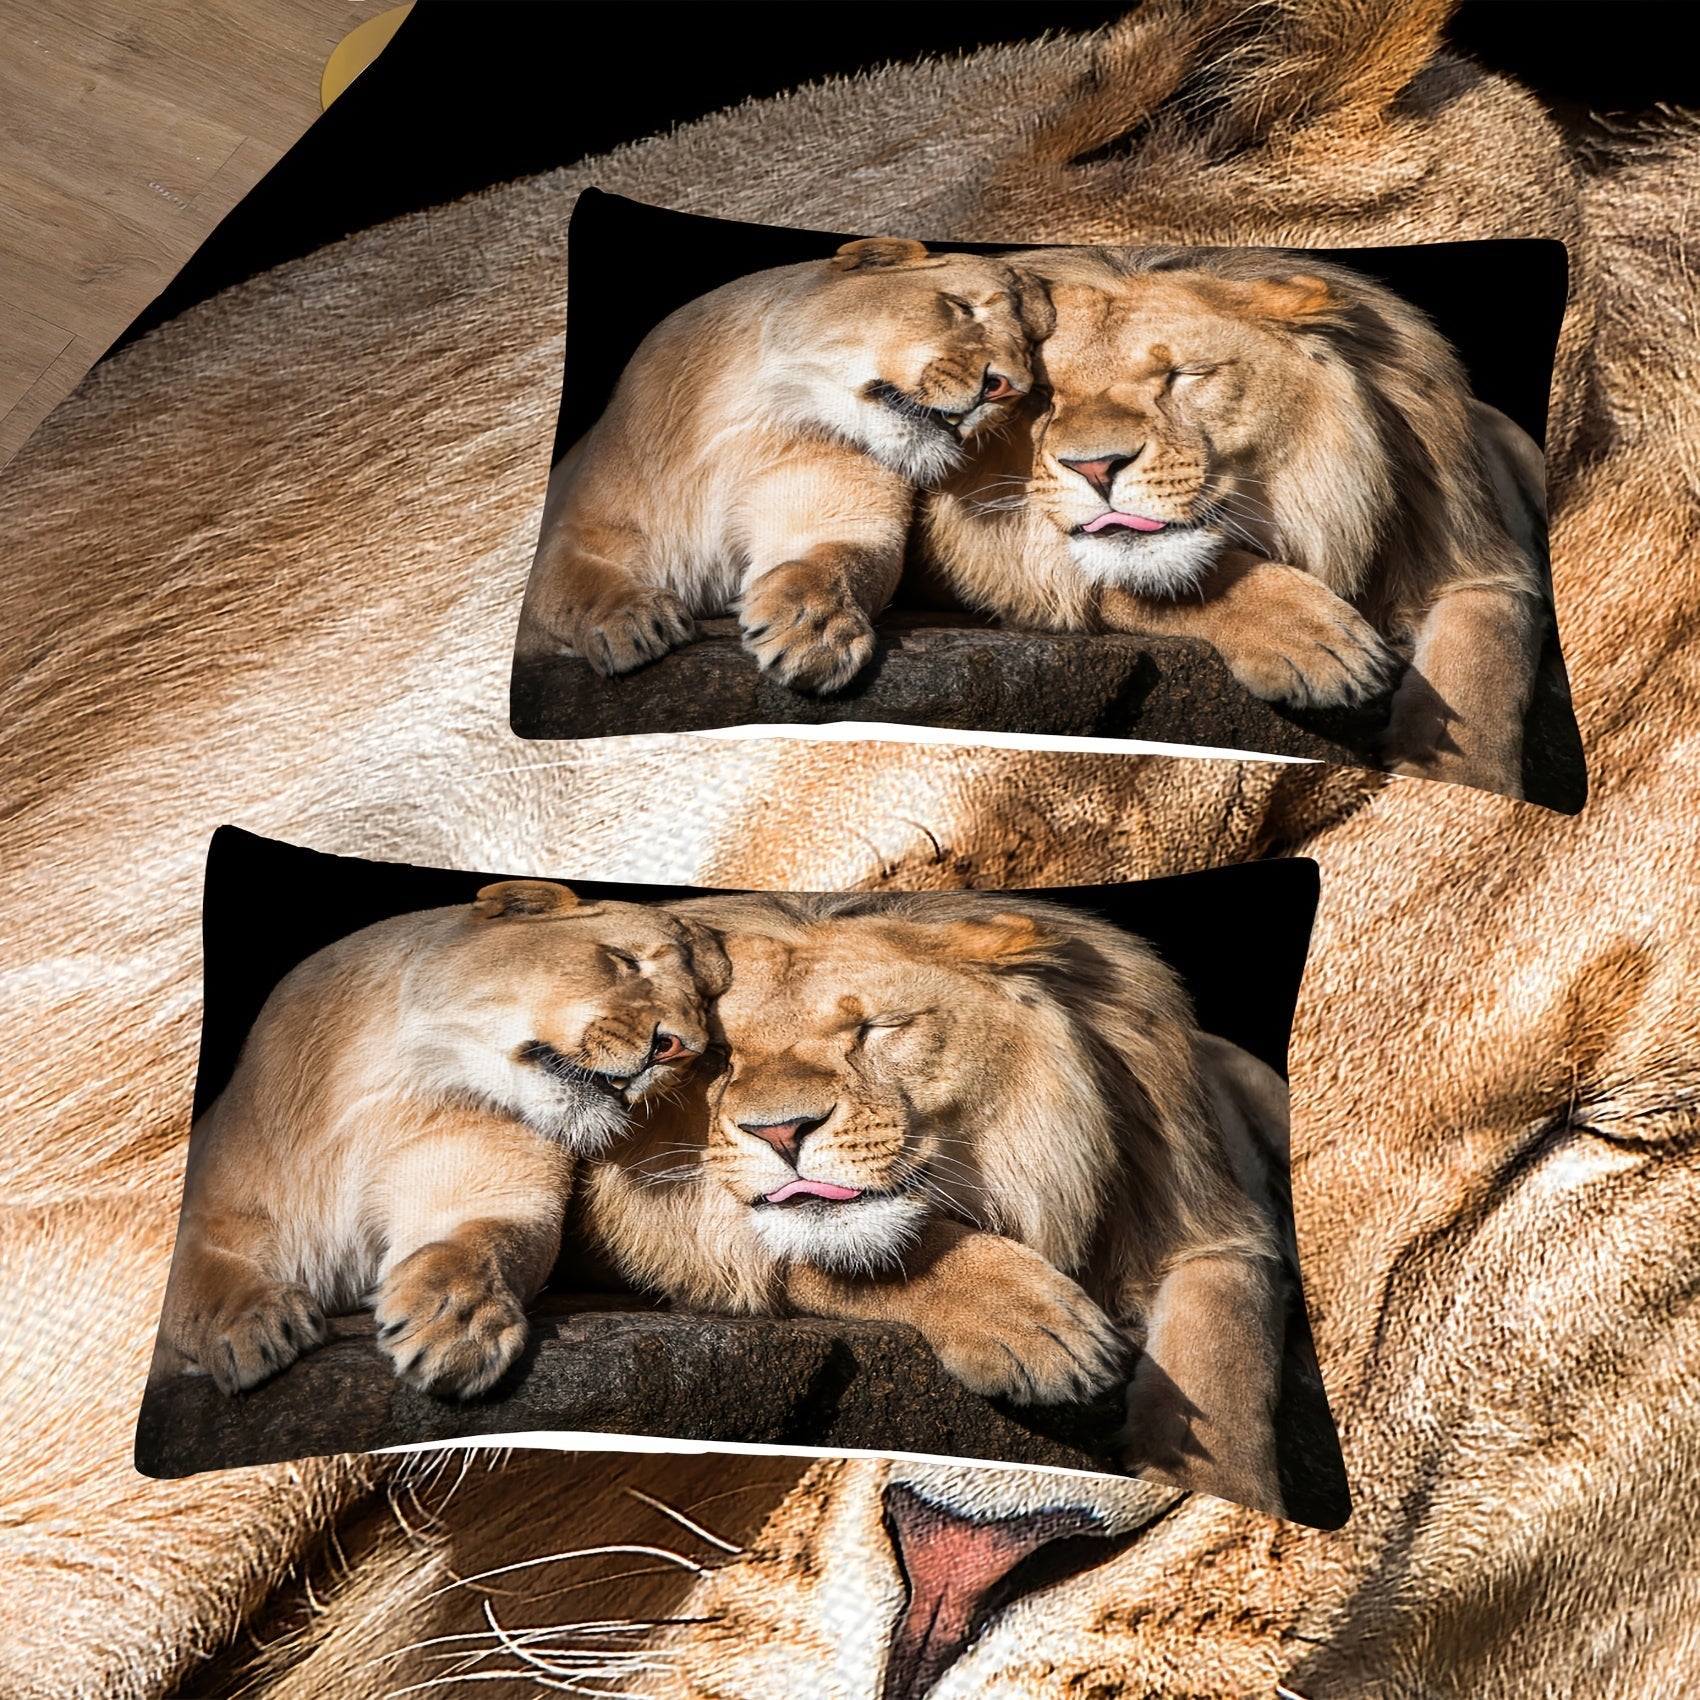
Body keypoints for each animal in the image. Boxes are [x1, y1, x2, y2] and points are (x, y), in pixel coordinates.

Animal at [152, 879, 725, 1401]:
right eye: (625, 961)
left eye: (707, 1004)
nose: (681, 1049)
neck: (388, 1092)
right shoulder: (215, 1207)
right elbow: (191, 1276)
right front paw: (251, 1322)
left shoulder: (491, 1191)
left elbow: (478, 1246)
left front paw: (458, 1323)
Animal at [514, 237, 1042, 692]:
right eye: (961, 306)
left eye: (1033, 347)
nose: (1008, 388)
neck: (752, 421)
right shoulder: (582, 523)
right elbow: (565, 581)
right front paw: (629, 620)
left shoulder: (840, 516)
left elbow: (835, 563)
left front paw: (815, 630)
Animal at [921, 245, 1552, 798]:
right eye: (1043, 394)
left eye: (1185, 375)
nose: (1095, 467)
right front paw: (1314, 640)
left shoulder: (1474, 558)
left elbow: (1484, 662)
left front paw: (1468, 786)